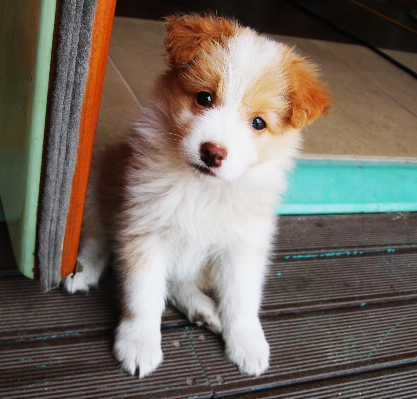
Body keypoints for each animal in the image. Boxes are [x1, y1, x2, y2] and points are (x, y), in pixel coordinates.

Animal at [63, 14, 330, 380]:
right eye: (204, 98)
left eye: (258, 122)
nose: (212, 153)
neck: (203, 189)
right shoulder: (145, 231)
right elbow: (144, 295)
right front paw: (139, 343)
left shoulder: (242, 246)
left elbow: (242, 298)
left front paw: (248, 344)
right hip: (98, 183)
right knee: (97, 239)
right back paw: (82, 272)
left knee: (178, 281)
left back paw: (203, 309)